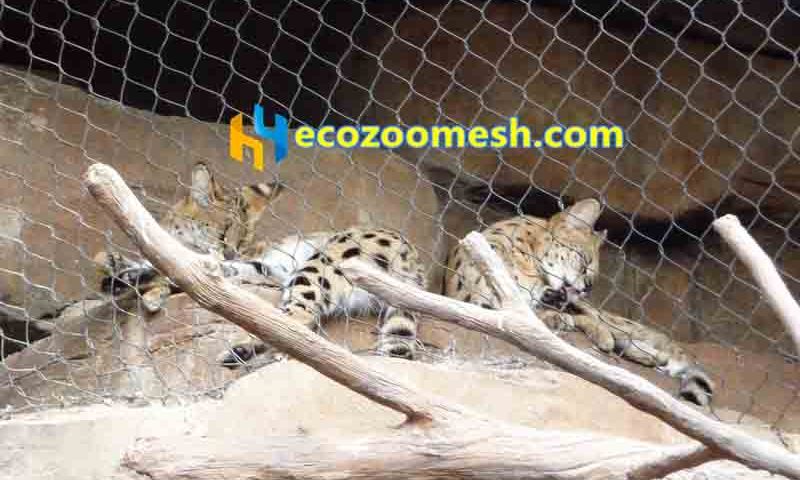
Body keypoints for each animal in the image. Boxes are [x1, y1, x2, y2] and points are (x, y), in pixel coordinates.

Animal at [94, 162, 279, 313]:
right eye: (223, 232)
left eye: (242, 243)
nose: (230, 257)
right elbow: (101, 258)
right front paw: (112, 264)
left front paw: (151, 293)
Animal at [444, 198, 715, 407]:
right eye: (584, 263)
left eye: (592, 282)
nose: (585, 289)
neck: (528, 258)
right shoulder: (480, 301)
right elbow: (536, 317)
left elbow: (578, 318)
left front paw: (598, 334)